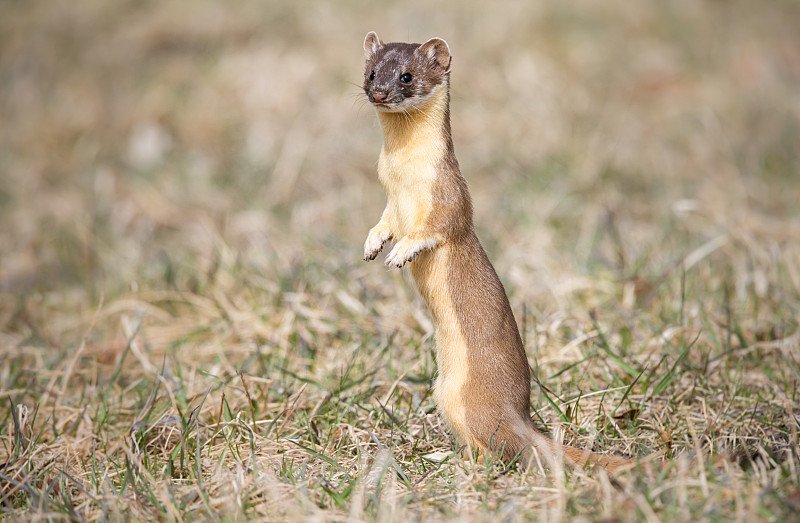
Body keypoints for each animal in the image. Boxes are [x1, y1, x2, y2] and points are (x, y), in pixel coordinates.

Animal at [360, 32, 632, 474]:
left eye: (406, 76)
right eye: (371, 72)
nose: (379, 92)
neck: (401, 181)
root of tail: (520, 414)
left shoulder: (449, 195)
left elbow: (437, 228)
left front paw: (401, 252)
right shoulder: (389, 203)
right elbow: (383, 222)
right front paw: (373, 244)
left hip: (467, 398)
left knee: (499, 448)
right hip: (444, 393)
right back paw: (442, 455)